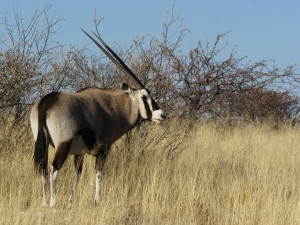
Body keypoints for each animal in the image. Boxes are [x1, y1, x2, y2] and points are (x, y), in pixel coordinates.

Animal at [29, 29, 166, 207]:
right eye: (144, 97)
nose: (161, 114)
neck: (114, 107)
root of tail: (47, 102)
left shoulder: (79, 153)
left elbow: (77, 175)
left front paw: (71, 201)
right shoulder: (103, 150)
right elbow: (99, 175)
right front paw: (96, 201)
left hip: (42, 143)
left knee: (43, 167)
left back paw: (45, 202)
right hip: (63, 144)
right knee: (54, 168)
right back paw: (53, 203)